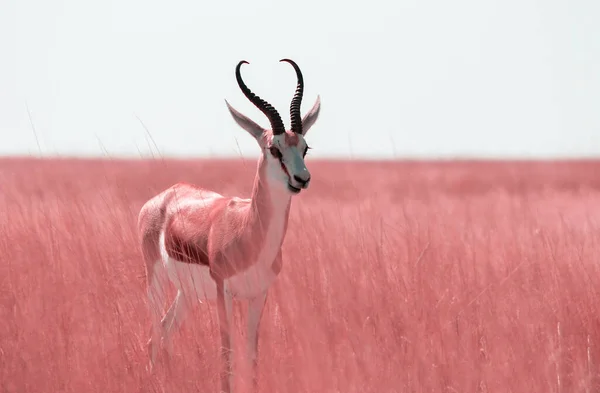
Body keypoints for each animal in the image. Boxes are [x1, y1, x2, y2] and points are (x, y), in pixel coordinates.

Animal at [138, 59, 322, 392]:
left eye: (305, 147)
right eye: (274, 148)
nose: (302, 179)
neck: (249, 231)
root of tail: (164, 195)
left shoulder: (258, 294)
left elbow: (251, 353)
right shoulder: (224, 292)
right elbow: (226, 354)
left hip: (188, 294)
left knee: (165, 331)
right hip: (155, 279)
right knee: (153, 336)